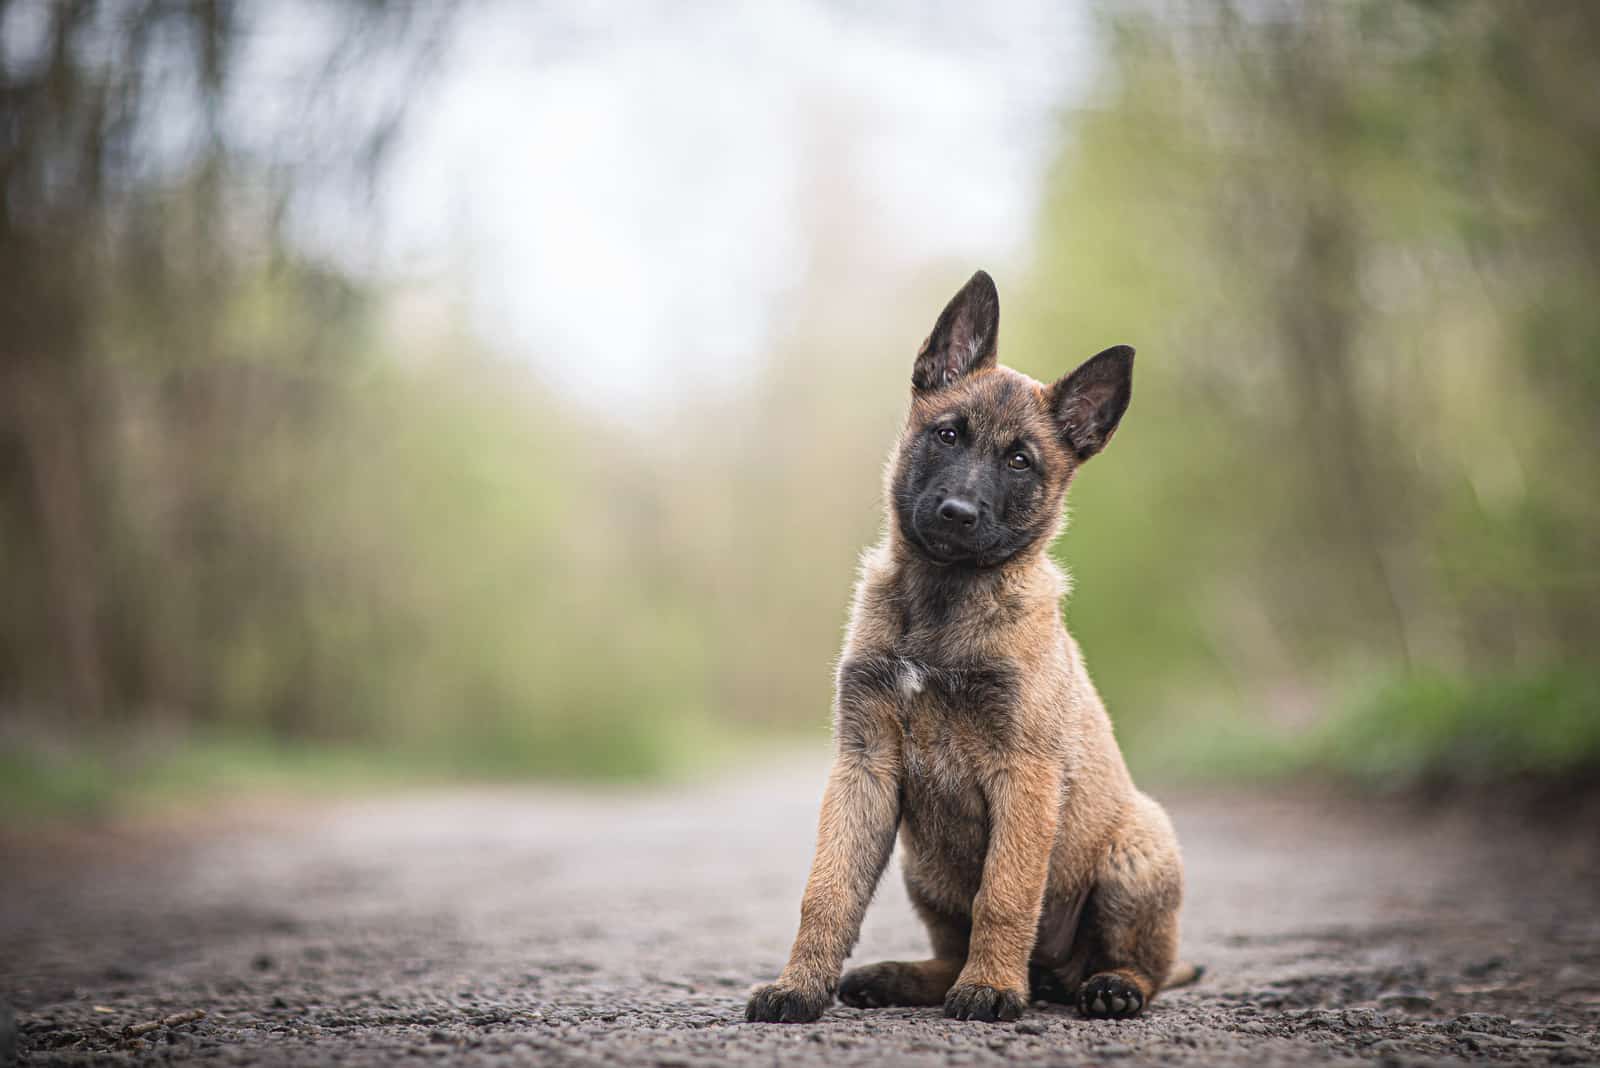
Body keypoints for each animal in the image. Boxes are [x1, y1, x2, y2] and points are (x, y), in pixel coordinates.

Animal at [745, 271, 1190, 1023]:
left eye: (1020, 461)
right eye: (947, 434)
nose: (957, 513)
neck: (943, 603)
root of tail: (1055, 975)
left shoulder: (1025, 772)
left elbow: (1005, 895)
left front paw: (991, 987)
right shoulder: (864, 762)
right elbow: (828, 891)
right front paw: (799, 986)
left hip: (1138, 847)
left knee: (1146, 965)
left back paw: (1107, 987)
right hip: (921, 866)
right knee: (948, 948)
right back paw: (899, 979)